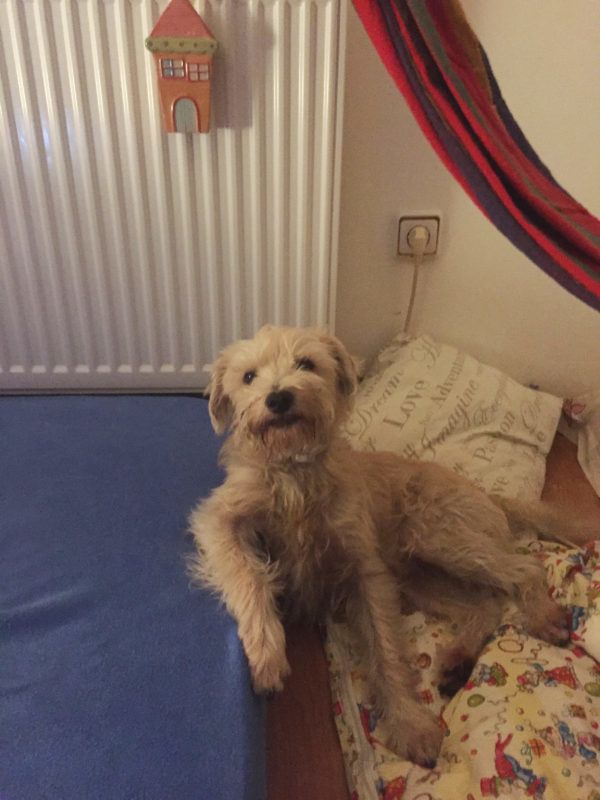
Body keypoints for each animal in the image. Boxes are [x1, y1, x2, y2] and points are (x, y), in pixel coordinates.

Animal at [189, 325, 577, 765]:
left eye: (306, 363)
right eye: (249, 376)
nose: (279, 398)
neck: (295, 472)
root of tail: (491, 496)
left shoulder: (368, 574)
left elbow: (387, 649)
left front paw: (409, 722)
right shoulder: (219, 521)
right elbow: (249, 579)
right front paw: (268, 656)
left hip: (441, 539)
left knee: (525, 569)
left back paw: (544, 617)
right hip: (421, 576)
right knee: (485, 605)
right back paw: (457, 659)